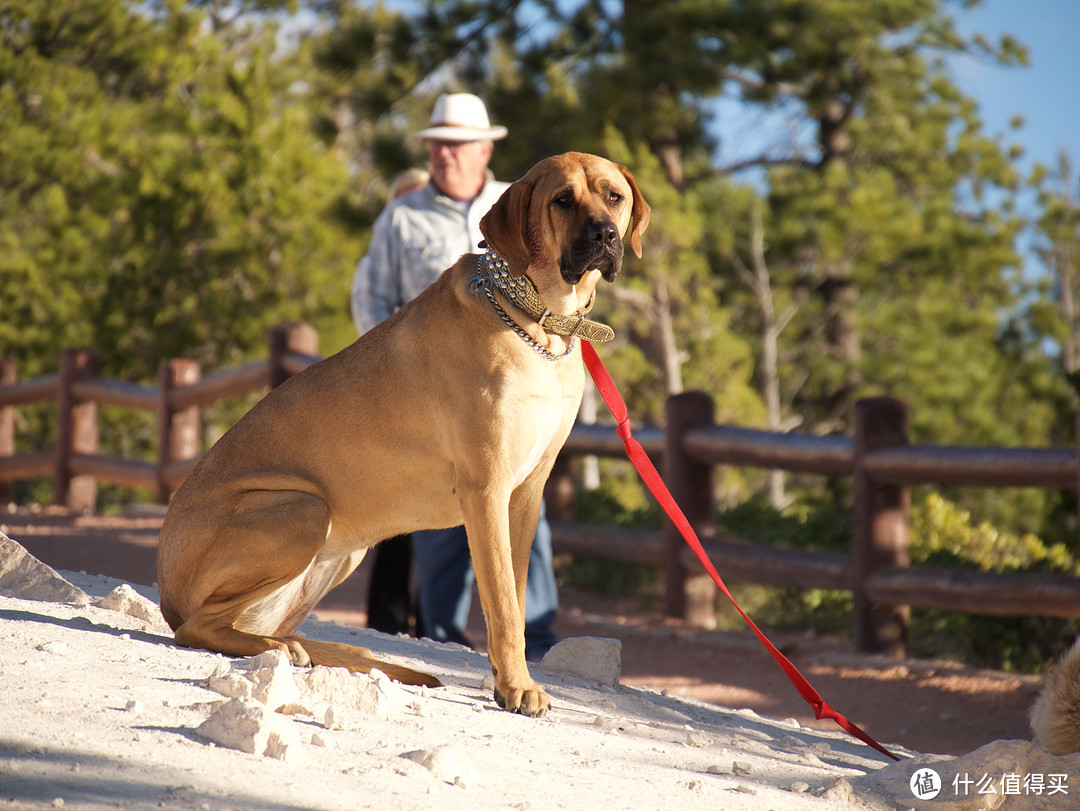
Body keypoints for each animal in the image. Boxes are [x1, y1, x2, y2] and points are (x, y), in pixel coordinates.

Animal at [157, 152, 648, 717]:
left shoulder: (526, 493)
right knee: (199, 626)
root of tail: (165, 589)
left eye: (613, 196)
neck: (539, 320)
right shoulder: (487, 489)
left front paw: (509, 677)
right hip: (304, 508)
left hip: (340, 546)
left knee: (251, 624)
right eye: (562, 201)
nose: (605, 235)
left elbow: (517, 597)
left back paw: (323, 649)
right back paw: (289, 649)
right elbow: (503, 603)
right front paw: (518, 686)